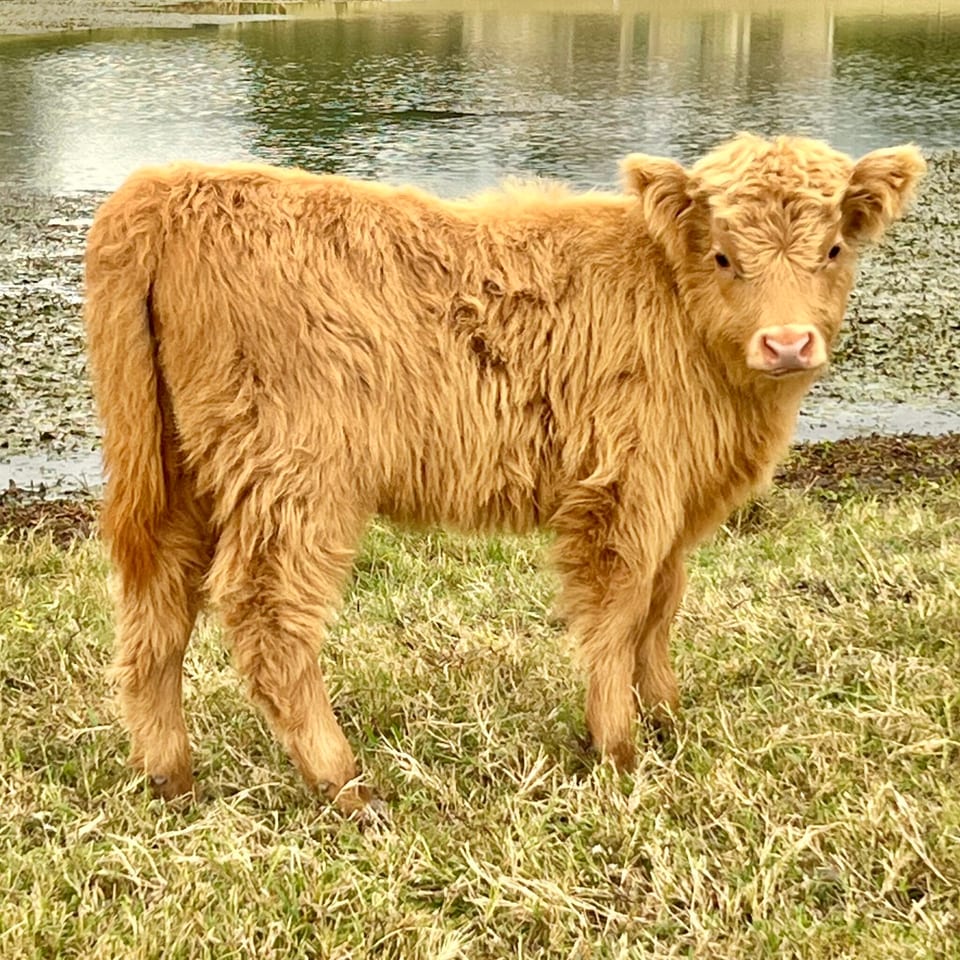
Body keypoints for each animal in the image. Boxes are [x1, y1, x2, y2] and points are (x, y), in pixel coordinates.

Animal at [84, 134, 924, 814]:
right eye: (723, 256)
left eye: (834, 251)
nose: (788, 343)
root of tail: (169, 185)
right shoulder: (626, 488)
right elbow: (619, 613)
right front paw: (618, 750)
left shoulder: (674, 502)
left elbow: (661, 606)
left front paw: (667, 718)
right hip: (297, 476)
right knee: (267, 615)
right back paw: (346, 785)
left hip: (177, 472)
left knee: (156, 607)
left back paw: (171, 777)